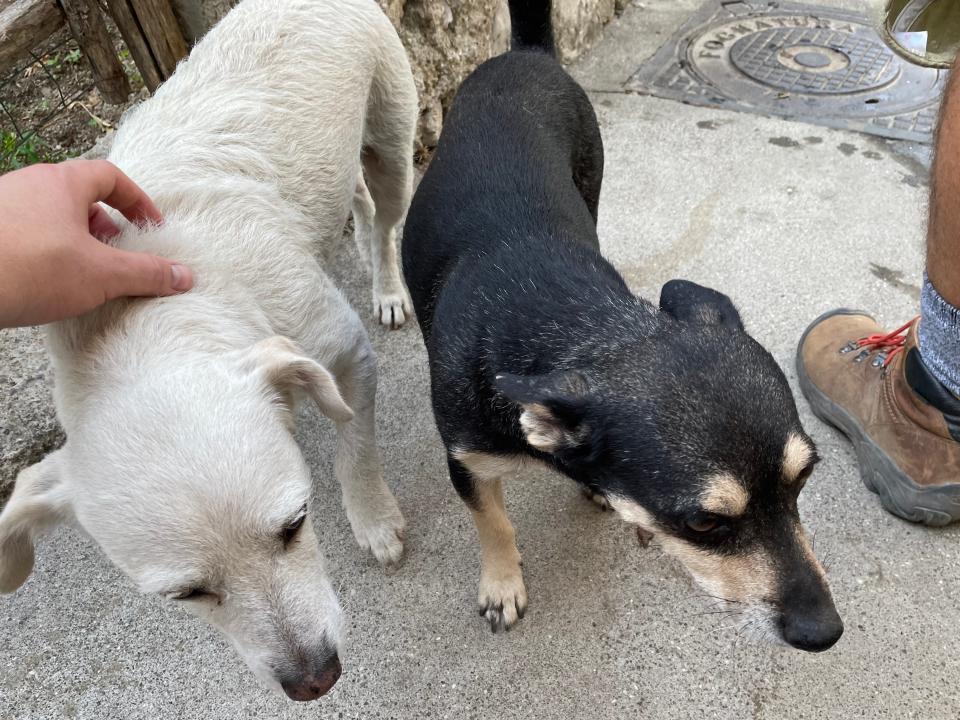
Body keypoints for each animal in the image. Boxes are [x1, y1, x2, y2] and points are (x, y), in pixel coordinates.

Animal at [0, 0, 416, 704]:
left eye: (295, 524)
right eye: (186, 594)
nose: (316, 680)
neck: (140, 319)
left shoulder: (344, 352)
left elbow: (354, 446)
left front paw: (374, 520)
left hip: (390, 138)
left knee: (385, 217)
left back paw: (387, 285)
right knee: (353, 199)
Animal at [402, 1, 844, 652]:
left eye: (802, 480)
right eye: (704, 523)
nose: (824, 631)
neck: (582, 322)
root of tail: (527, 54)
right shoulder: (467, 461)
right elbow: (493, 521)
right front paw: (502, 583)